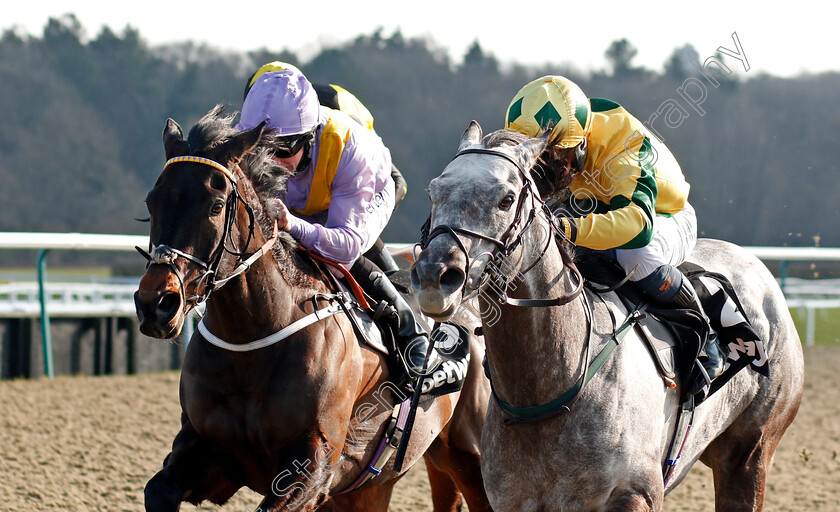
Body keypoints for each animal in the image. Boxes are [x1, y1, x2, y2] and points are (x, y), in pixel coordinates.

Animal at [133, 106, 492, 510]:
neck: (252, 337)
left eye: (216, 205)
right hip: (373, 485)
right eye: (152, 202)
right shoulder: (207, 451)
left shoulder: (312, 467)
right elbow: (158, 488)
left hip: (469, 452)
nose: (156, 304)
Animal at [410, 122, 804, 510]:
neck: (549, 393)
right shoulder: (512, 500)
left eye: (506, 199)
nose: (434, 276)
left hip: (749, 453)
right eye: (433, 192)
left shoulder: (634, 493)